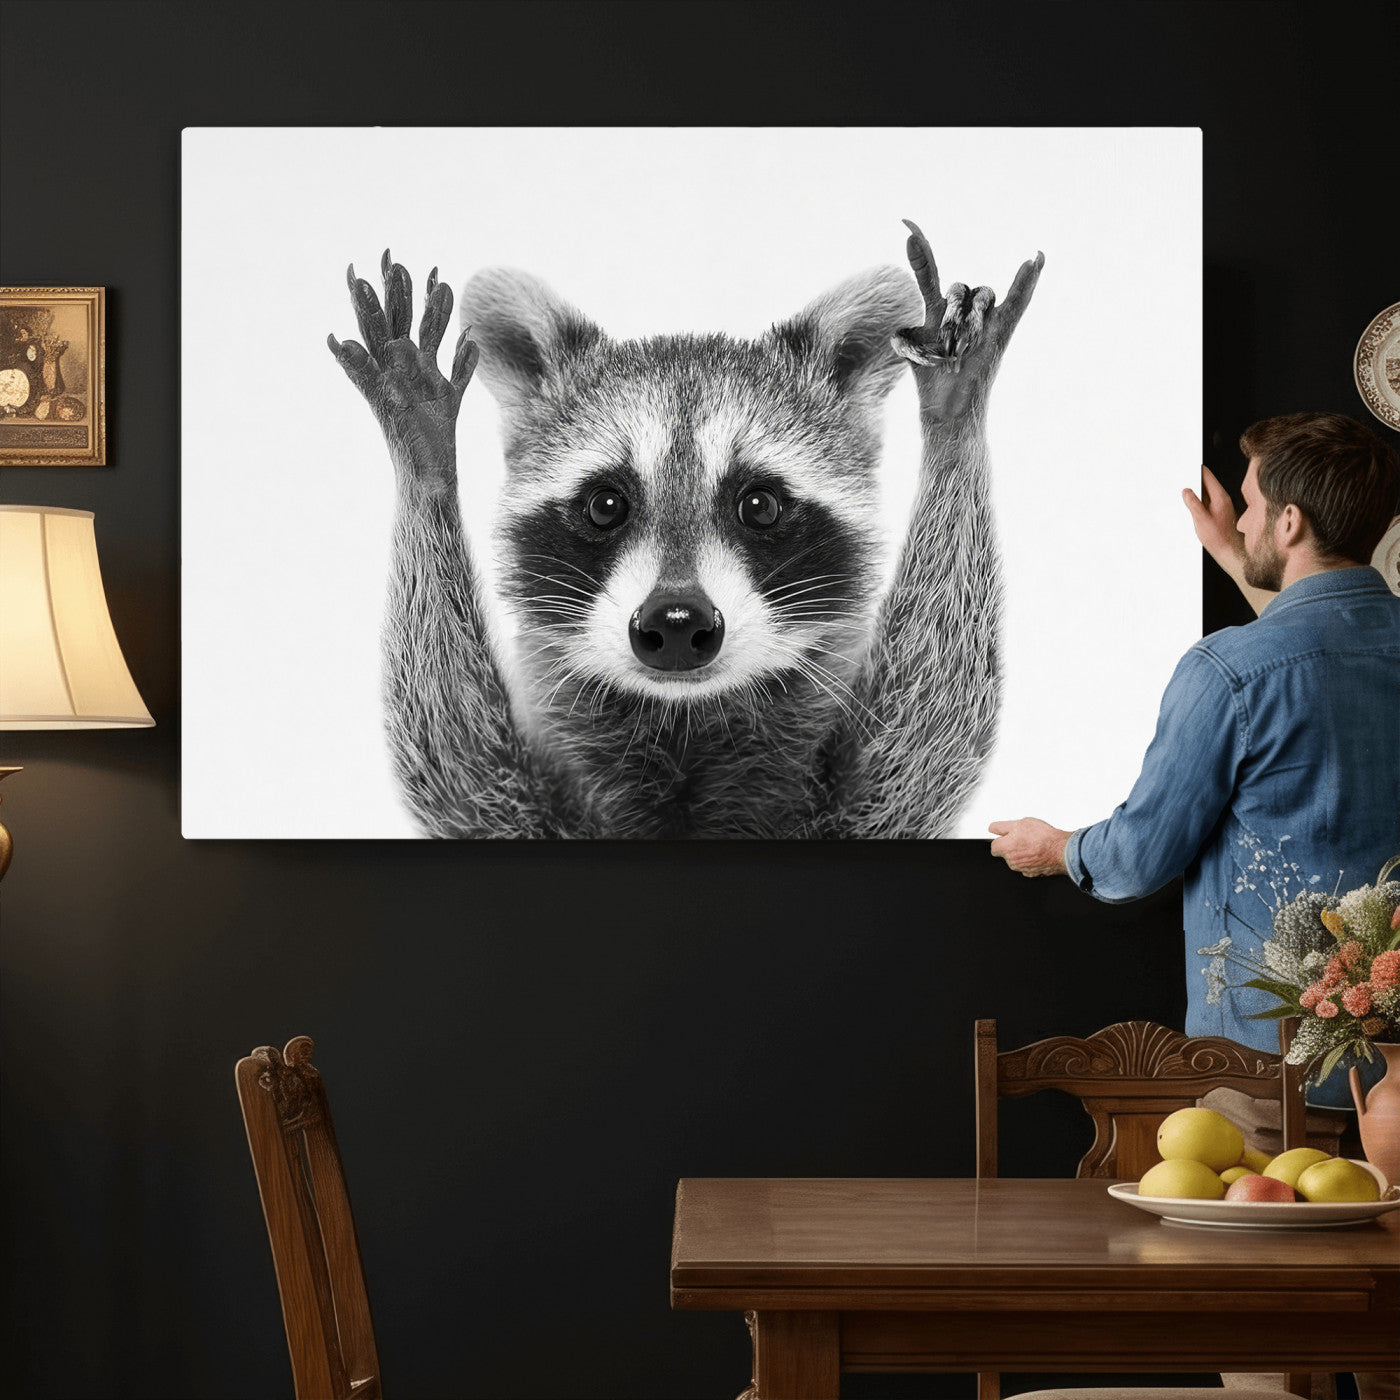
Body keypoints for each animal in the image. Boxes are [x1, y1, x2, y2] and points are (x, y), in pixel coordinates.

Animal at [328, 223, 1043, 838]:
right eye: (605, 505)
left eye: (759, 506)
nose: (675, 623)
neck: (682, 724)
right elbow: (454, 763)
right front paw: (424, 454)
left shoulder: (859, 808)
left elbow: (929, 735)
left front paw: (953, 416)